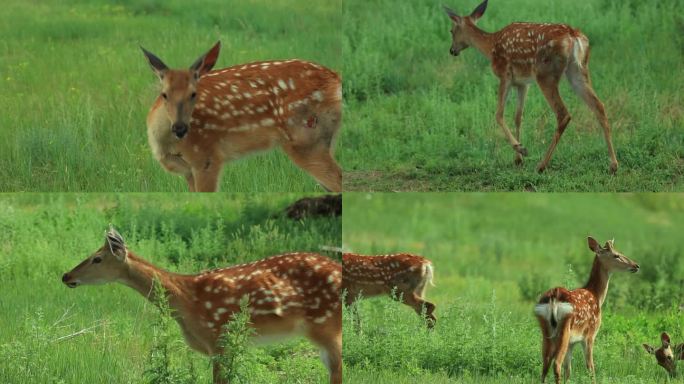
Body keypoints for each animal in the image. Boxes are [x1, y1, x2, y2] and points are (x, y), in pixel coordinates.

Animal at [140, 41, 342, 191]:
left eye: (193, 94)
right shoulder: (188, 171)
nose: (180, 127)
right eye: (164, 94)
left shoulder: (206, 157)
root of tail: (336, 79)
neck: (166, 143)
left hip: (306, 138)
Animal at [444, 0, 620, 172]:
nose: (452, 50)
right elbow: (518, 116)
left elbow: (499, 114)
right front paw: (518, 159)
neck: (490, 46)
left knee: (563, 113)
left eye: (451, 30)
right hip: (578, 71)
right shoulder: (523, 83)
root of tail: (573, 35)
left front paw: (521, 149)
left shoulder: (505, 74)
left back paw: (542, 165)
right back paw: (613, 164)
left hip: (545, 73)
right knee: (599, 106)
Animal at [536, 237, 640, 384]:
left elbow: (569, 370)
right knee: (556, 364)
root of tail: (554, 296)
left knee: (545, 364)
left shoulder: (572, 342)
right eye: (616, 255)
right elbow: (590, 367)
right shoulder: (590, 334)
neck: (596, 296)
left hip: (546, 329)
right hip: (564, 329)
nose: (636, 266)